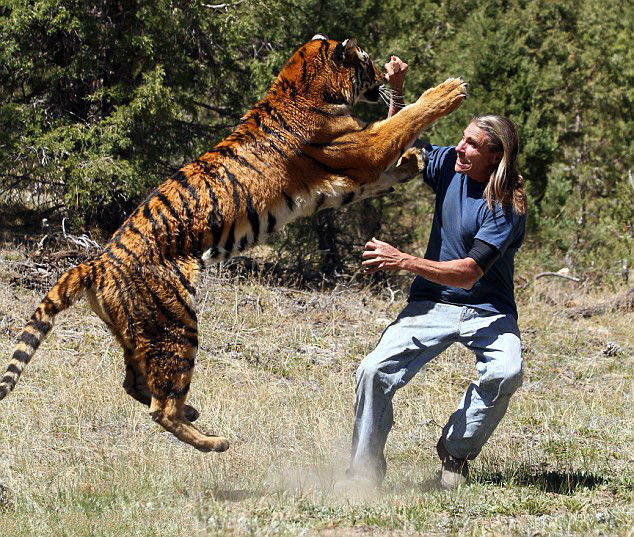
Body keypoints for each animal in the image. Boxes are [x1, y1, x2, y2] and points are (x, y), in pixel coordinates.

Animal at [0, 35, 464, 450]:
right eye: (366, 62)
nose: (384, 76)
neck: (300, 83)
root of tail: (96, 262)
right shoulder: (360, 148)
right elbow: (401, 122)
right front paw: (449, 91)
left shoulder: (351, 176)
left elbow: (392, 158)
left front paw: (414, 159)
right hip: (176, 324)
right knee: (159, 406)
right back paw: (214, 441)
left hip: (138, 330)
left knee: (135, 383)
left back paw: (193, 413)